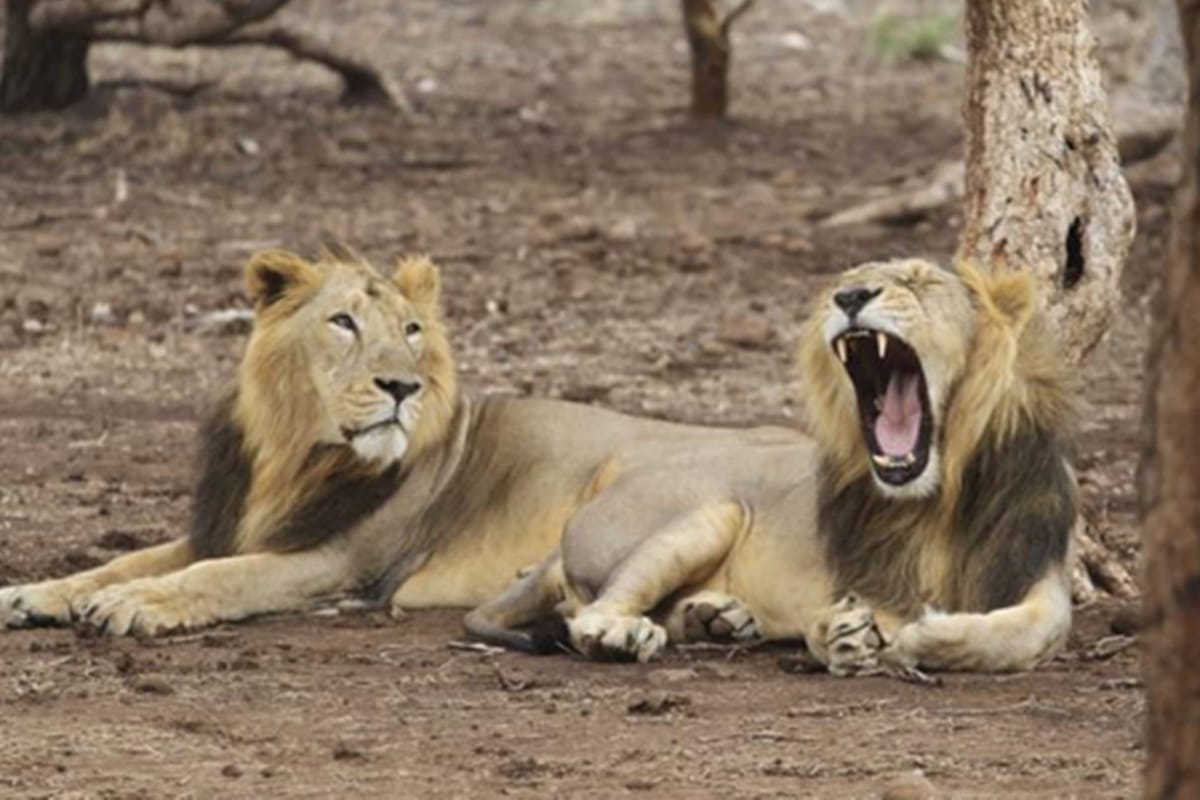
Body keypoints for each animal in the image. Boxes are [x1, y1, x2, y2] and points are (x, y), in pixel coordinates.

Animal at [0, 247, 816, 637]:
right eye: (343, 323)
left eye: (413, 330)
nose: (401, 386)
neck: (292, 454)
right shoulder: (227, 525)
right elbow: (125, 559)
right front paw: (35, 593)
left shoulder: (339, 560)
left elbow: (218, 578)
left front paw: (135, 606)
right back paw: (718, 617)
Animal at [466, 257, 1078, 674]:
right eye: (847, 279)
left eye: (919, 280)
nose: (849, 295)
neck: (934, 498)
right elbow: (837, 619)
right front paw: (848, 636)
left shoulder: (1039, 570)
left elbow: (1031, 630)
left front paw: (926, 636)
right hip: (713, 510)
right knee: (592, 610)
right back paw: (623, 635)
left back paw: (714, 619)